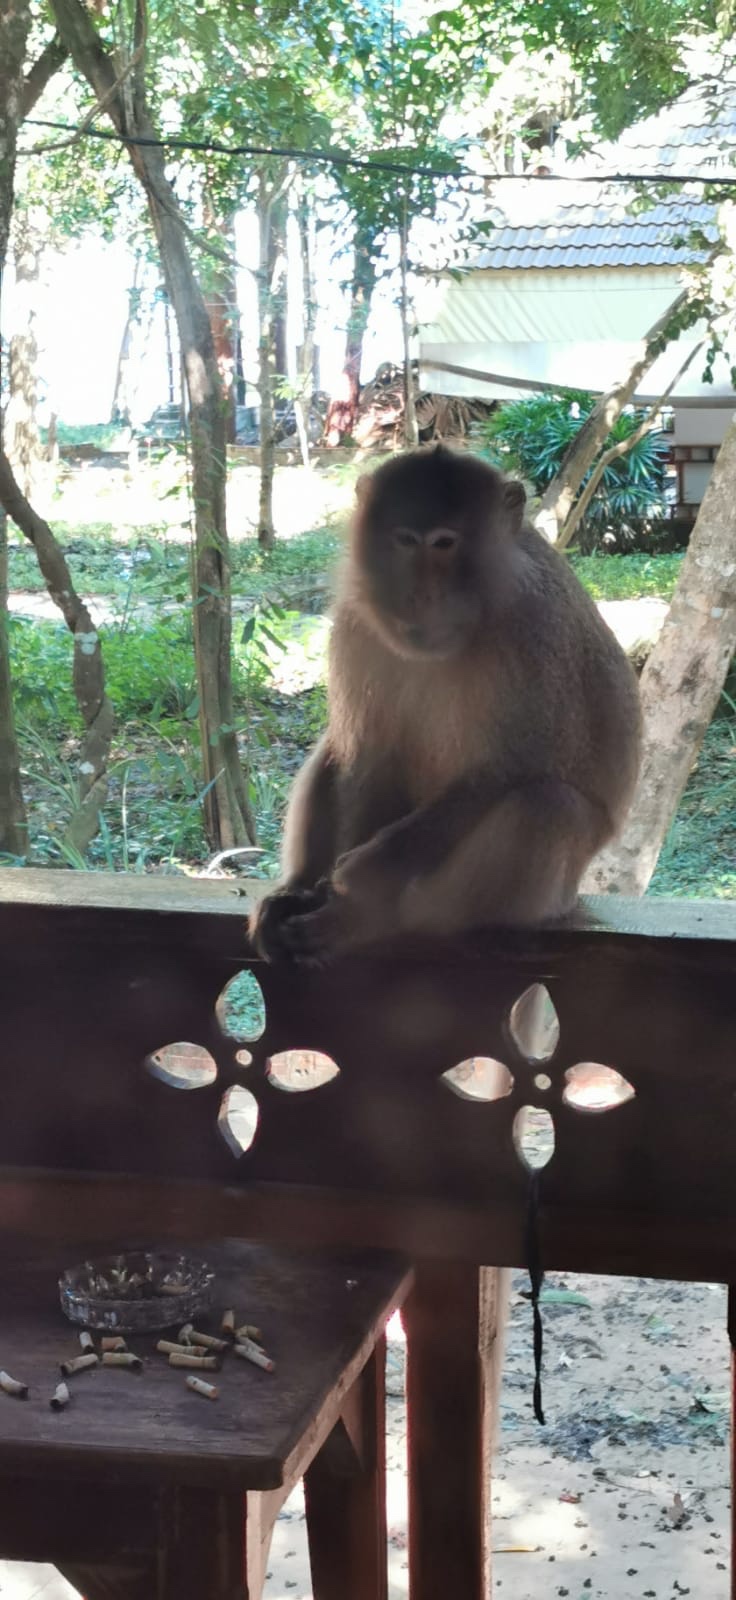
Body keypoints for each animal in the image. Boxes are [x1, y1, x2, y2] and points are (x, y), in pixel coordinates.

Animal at [250, 444, 641, 966]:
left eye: (443, 543)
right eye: (405, 540)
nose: (420, 596)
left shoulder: (533, 629)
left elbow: (510, 767)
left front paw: (365, 877)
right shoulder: (356, 622)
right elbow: (367, 751)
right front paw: (317, 891)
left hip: (544, 894)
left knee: (546, 805)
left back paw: (372, 921)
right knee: (335, 748)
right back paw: (297, 892)